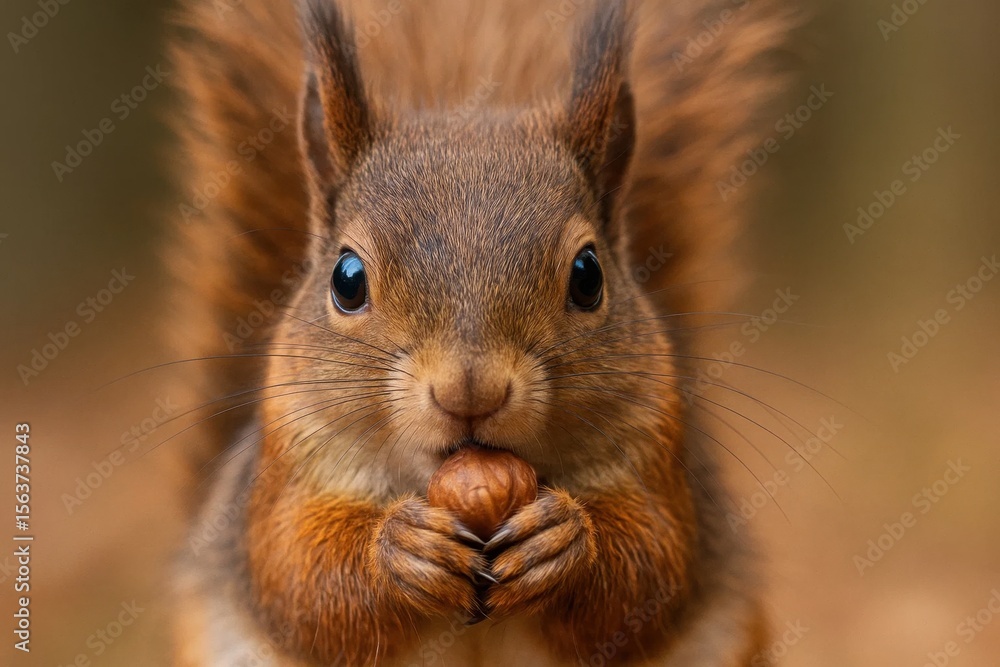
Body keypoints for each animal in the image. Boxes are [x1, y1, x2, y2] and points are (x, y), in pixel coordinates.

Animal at [166, 0, 798, 665]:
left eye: (588, 275)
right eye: (346, 279)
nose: (470, 391)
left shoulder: (660, 464)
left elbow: (653, 565)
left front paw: (564, 541)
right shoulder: (281, 481)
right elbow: (298, 576)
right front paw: (399, 549)